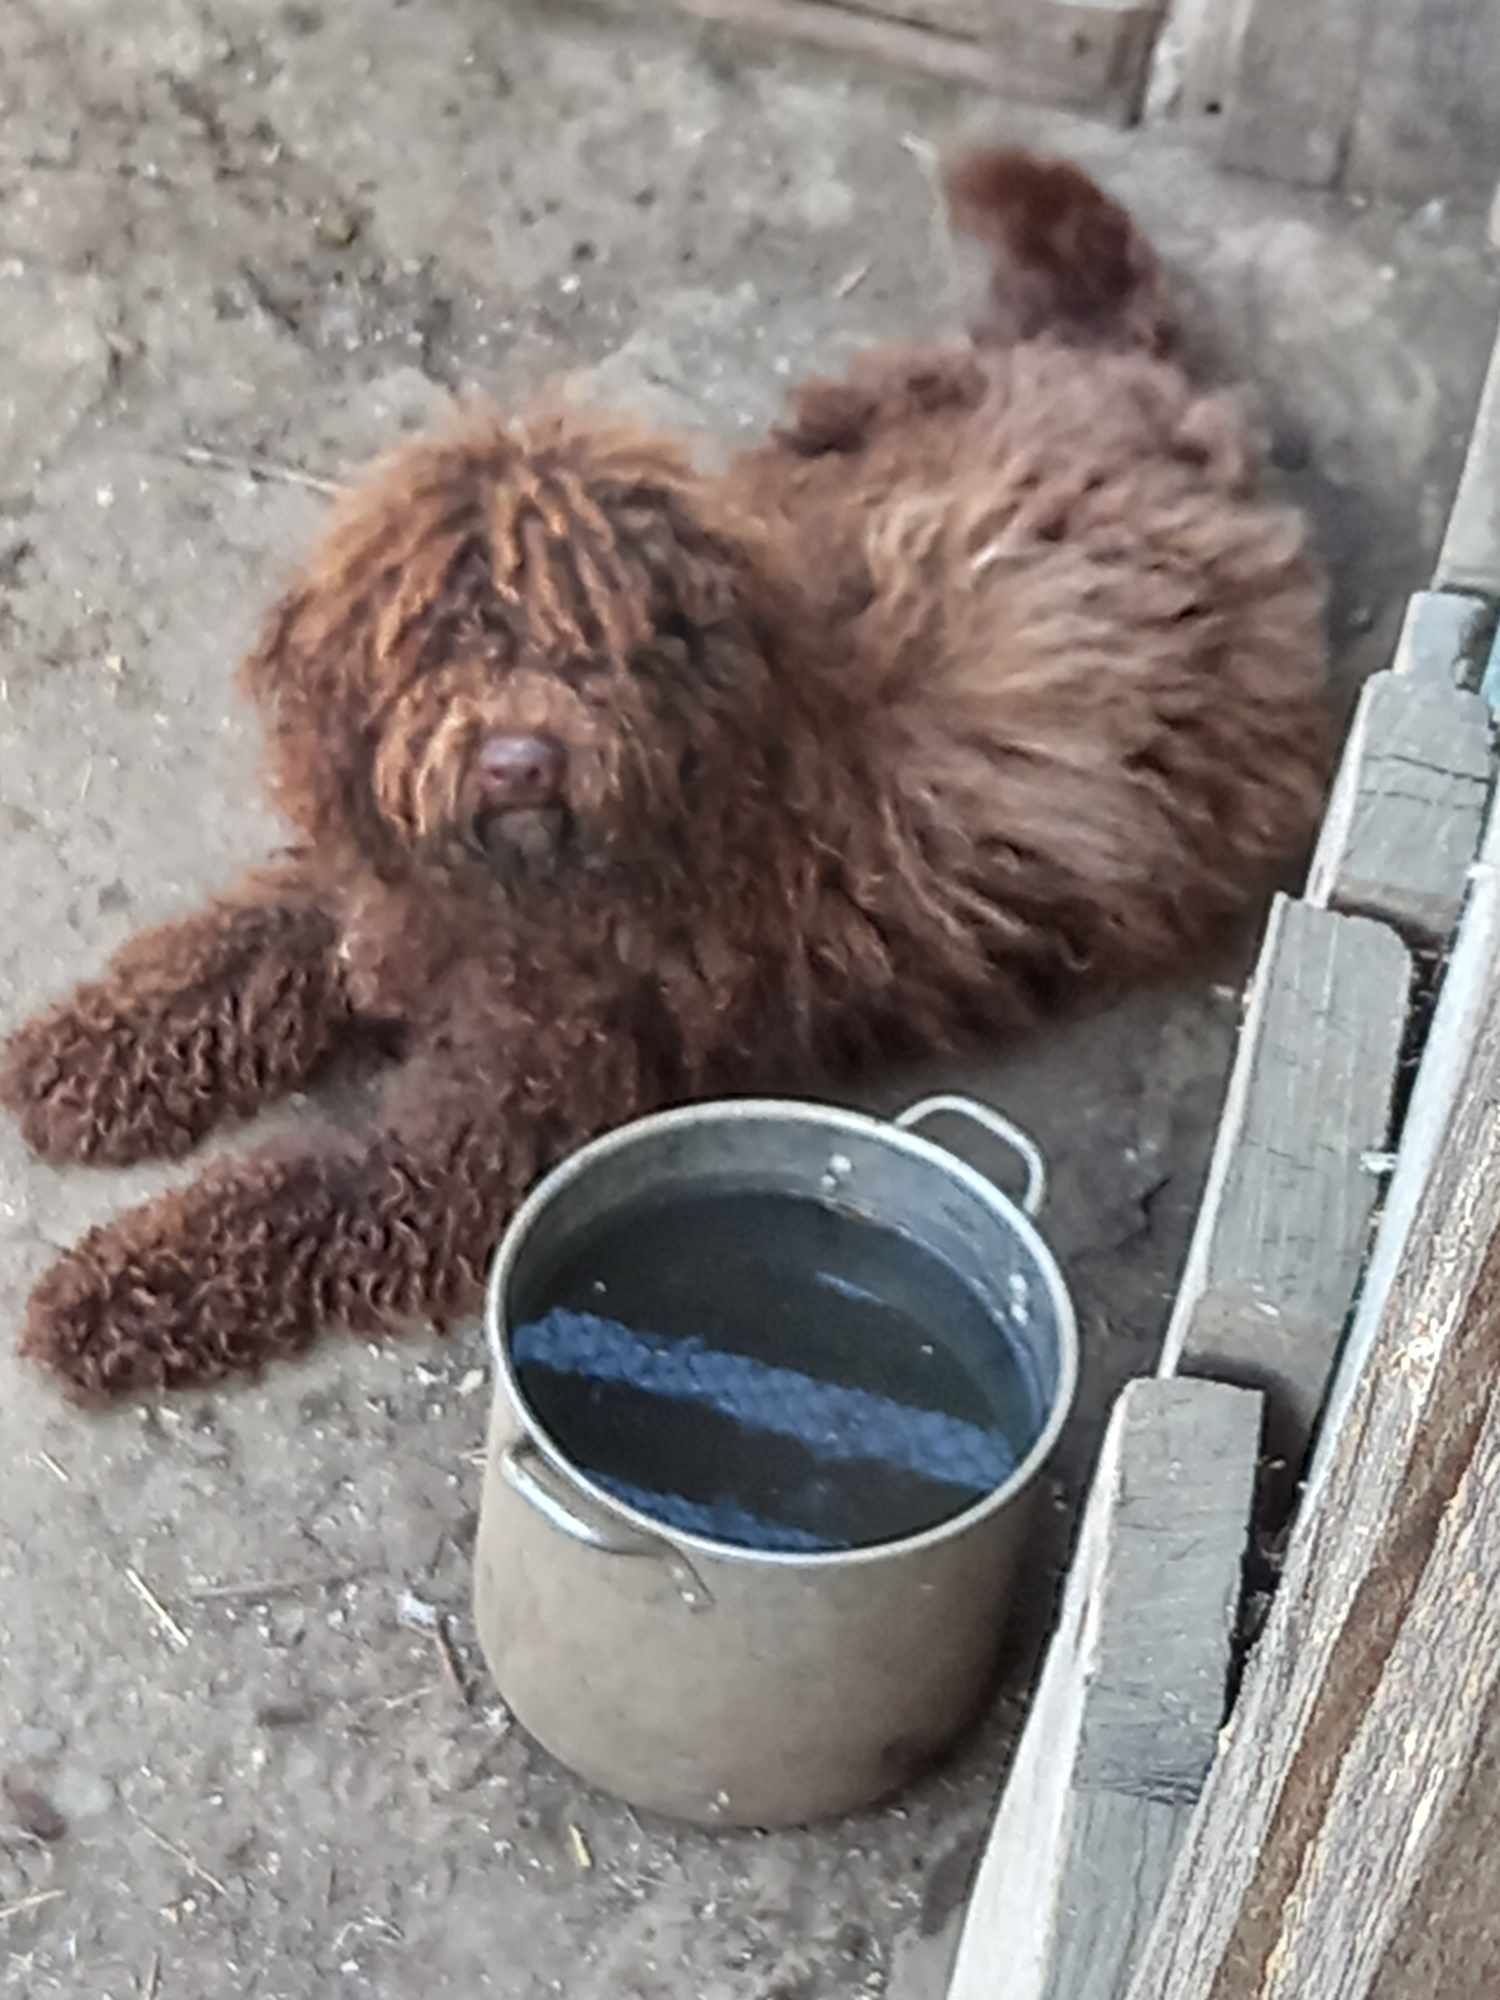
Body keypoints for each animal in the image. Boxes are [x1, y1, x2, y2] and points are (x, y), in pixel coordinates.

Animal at [5, 148, 1336, 1400]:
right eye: (450, 633)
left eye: (599, 641)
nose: (520, 756)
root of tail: (1167, 412)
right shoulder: (371, 891)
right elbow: (227, 953)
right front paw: (75, 1057)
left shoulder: (476, 1141)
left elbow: (296, 1195)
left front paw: (106, 1290)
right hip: (866, 409)